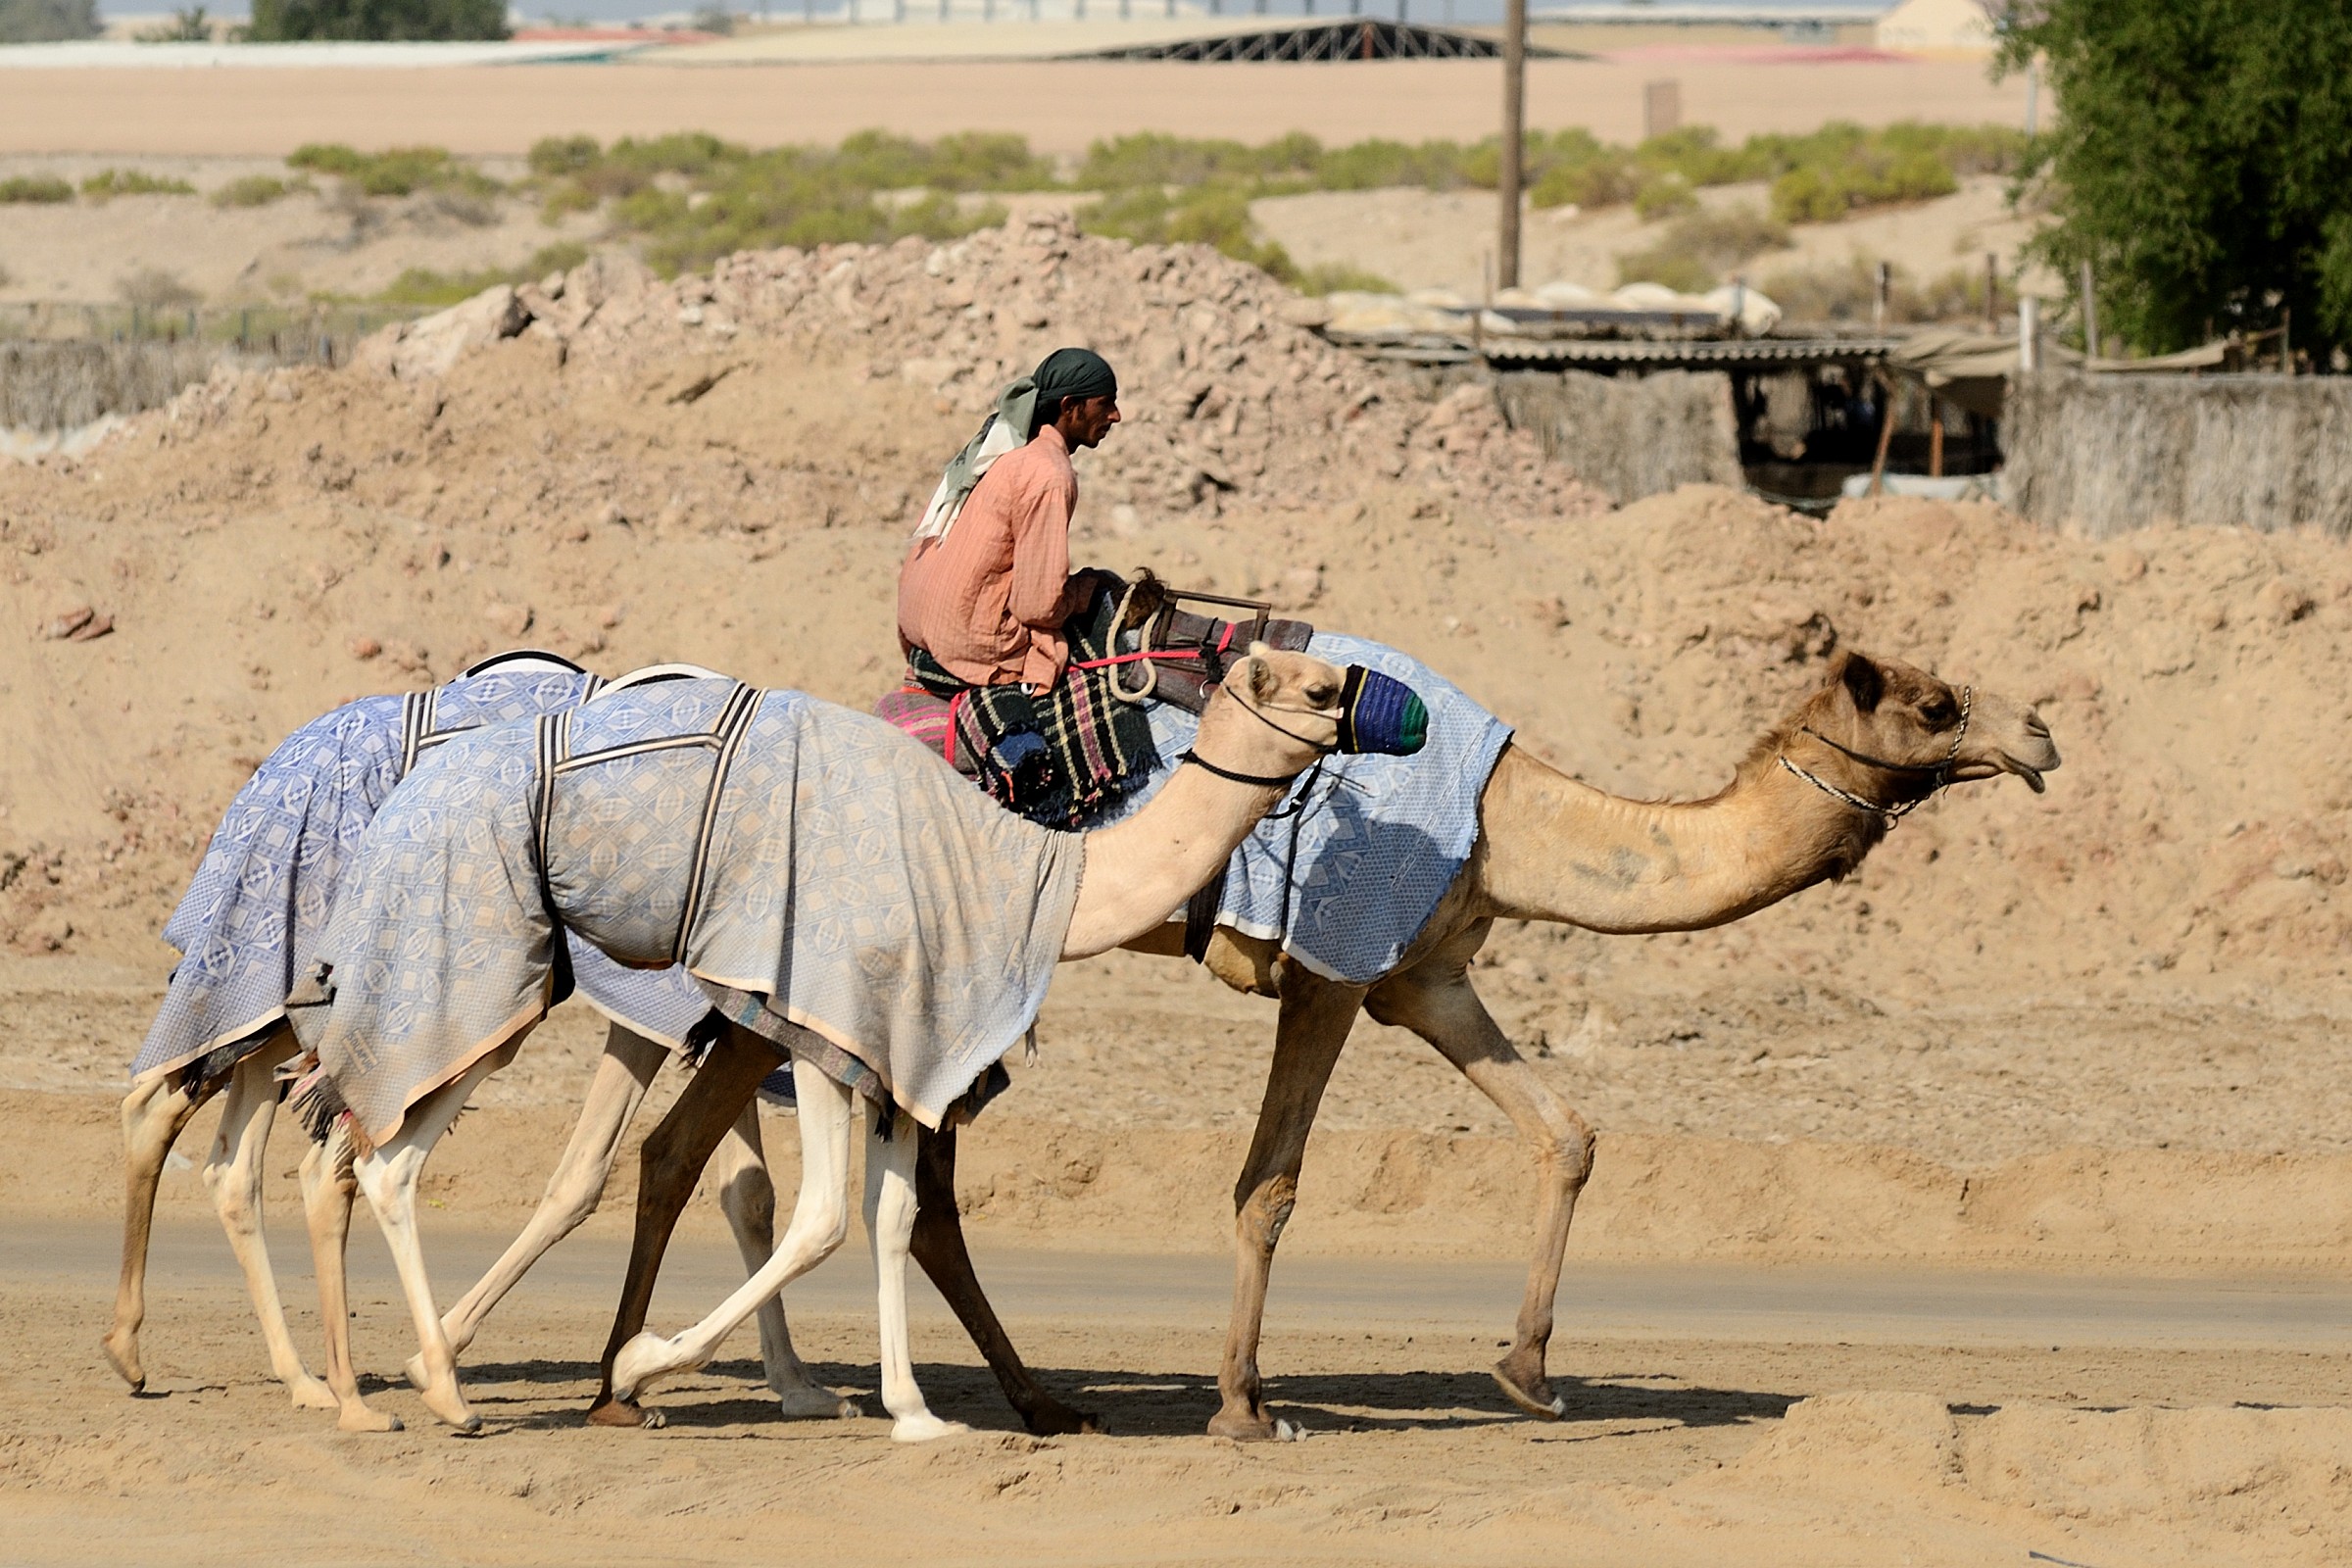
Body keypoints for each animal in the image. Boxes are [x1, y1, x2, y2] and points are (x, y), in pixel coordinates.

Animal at [592, 644, 2060, 1439]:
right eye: (1936, 704)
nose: (2042, 728)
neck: (1510, 820)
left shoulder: (1427, 974)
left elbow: (1570, 1134)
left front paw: (1530, 1373)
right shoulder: (1333, 967)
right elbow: (1270, 1184)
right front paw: (1245, 1404)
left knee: (892, 1179)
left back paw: (1037, 1401)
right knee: (684, 1148)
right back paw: (625, 1385)